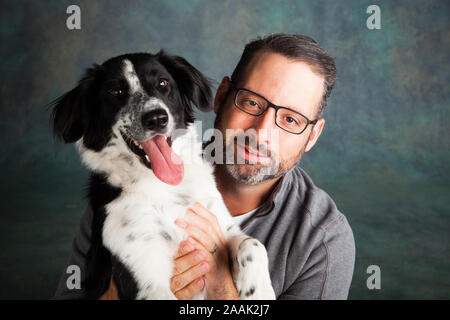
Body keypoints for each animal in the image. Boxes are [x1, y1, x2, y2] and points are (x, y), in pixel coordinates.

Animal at [50, 50, 274, 300]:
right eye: (116, 92)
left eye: (162, 83)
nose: (156, 118)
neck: (165, 187)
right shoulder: (146, 279)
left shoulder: (222, 226)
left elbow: (253, 244)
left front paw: (259, 291)